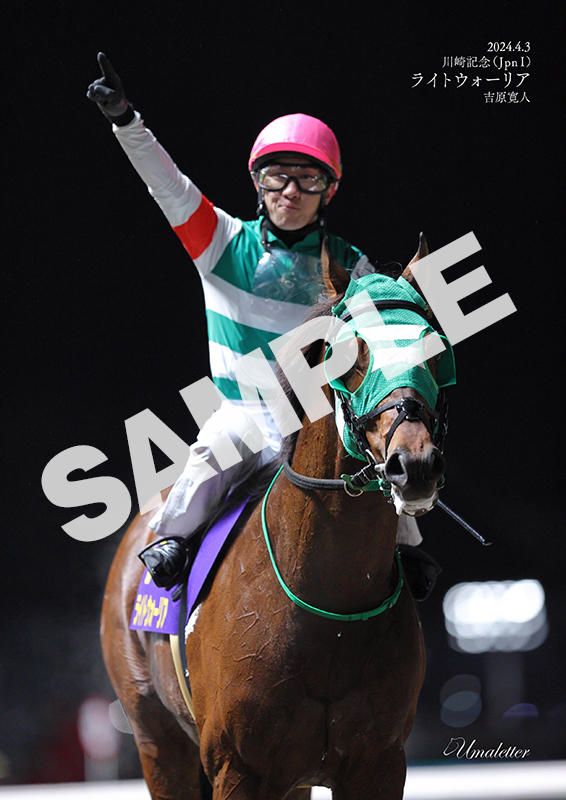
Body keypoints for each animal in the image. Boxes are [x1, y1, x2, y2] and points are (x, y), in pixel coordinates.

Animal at [101, 236, 451, 799]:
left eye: (434, 352)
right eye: (351, 353)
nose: (415, 464)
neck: (327, 610)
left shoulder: (378, 763)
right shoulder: (238, 767)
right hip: (158, 741)